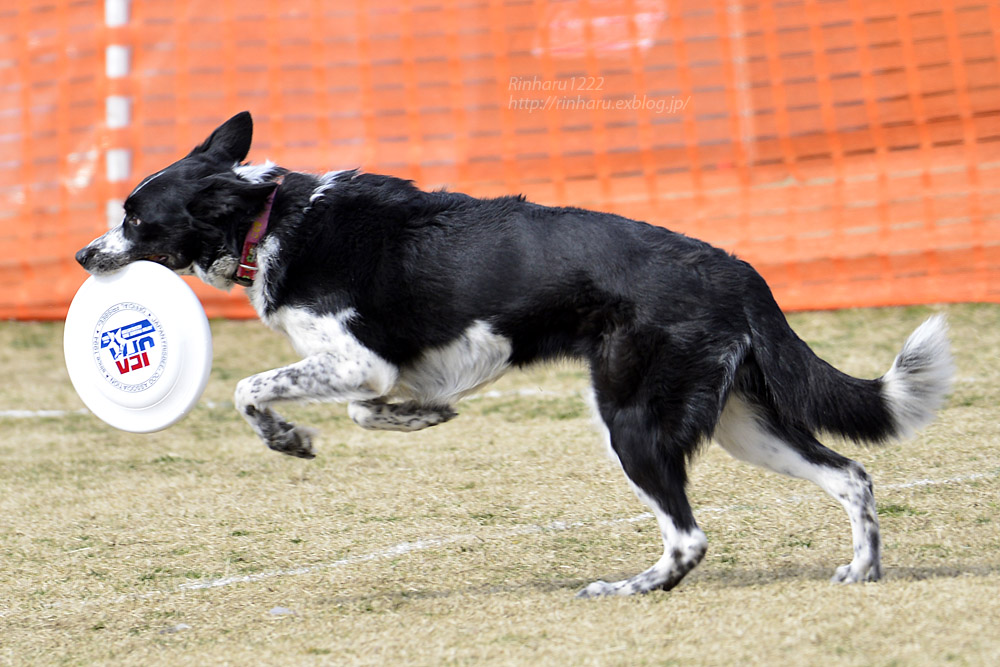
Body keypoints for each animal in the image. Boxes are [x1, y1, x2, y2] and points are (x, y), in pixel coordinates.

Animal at [76, 112, 952, 596]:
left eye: (136, 219)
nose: (84, 253)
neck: (269, 219)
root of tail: (739, 269)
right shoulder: (370, 370)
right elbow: (370, 409)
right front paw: (420, 415)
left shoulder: (357, 362)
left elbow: (255, 391)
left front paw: (290, 436)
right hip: (744, 423)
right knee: (852, 474)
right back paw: (863, 570)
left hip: (632, 420)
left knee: (689, 534)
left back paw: (629, 586)